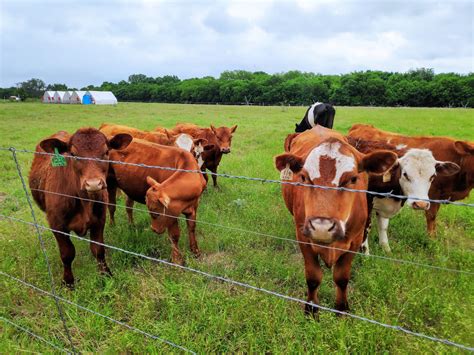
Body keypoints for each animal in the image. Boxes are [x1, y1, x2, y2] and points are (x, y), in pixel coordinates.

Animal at [28, 129, 131, 288]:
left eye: (106, 152)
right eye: (73, 154)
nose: (93, 184)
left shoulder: (99, 220)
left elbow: (98, 250)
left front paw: (106, 275)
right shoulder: (57, 225)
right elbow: (67, 254)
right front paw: (68, 282)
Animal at [274, 125, 396, 314]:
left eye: (352, 179)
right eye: (304, 177)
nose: (321, 228)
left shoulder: (355, 241)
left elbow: (342, 278)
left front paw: (341, 309)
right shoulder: (303, 239)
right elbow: (313, 277)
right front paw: (311, 309)